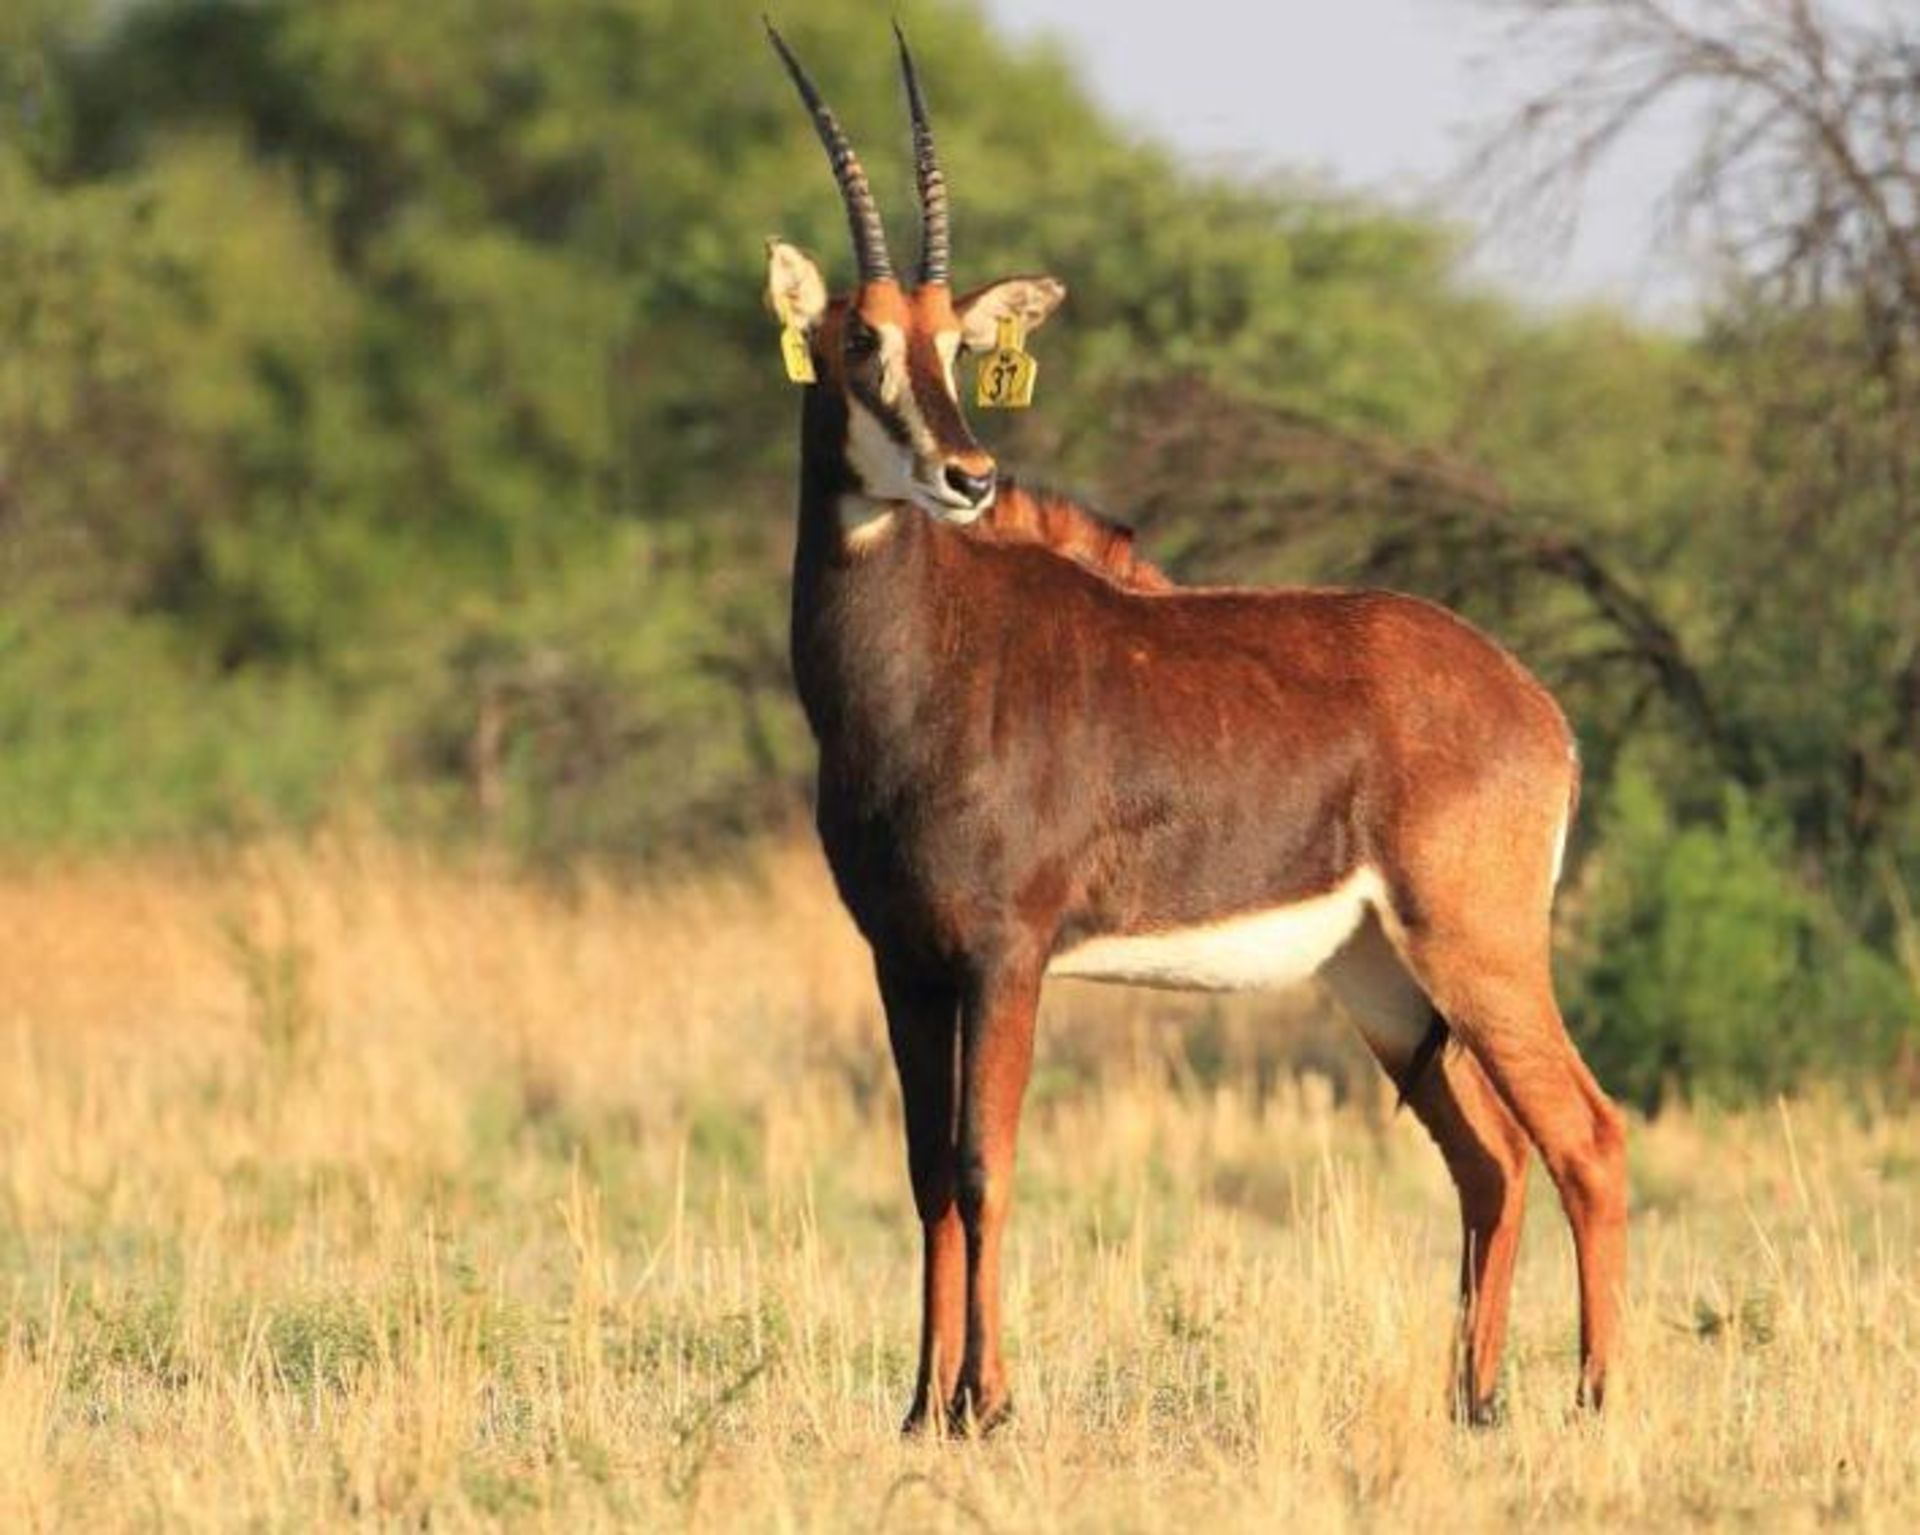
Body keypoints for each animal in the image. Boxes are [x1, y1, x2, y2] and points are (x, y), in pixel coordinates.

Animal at [760, 18, 1620, 1437]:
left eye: (955, 343)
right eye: (858, 340)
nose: (968, 475)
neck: (923, 660)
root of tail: (1535, 706)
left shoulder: (1006, 953)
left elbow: (987, 1163)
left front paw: (989, 1404)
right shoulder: (904, 958)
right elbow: (926, 1172)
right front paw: (923, 1408)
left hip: (1478, 949)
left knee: (1585, 1135)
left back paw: (1597, 1400)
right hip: (1383, 978)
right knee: (1492, 1156)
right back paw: (1475, 1399)